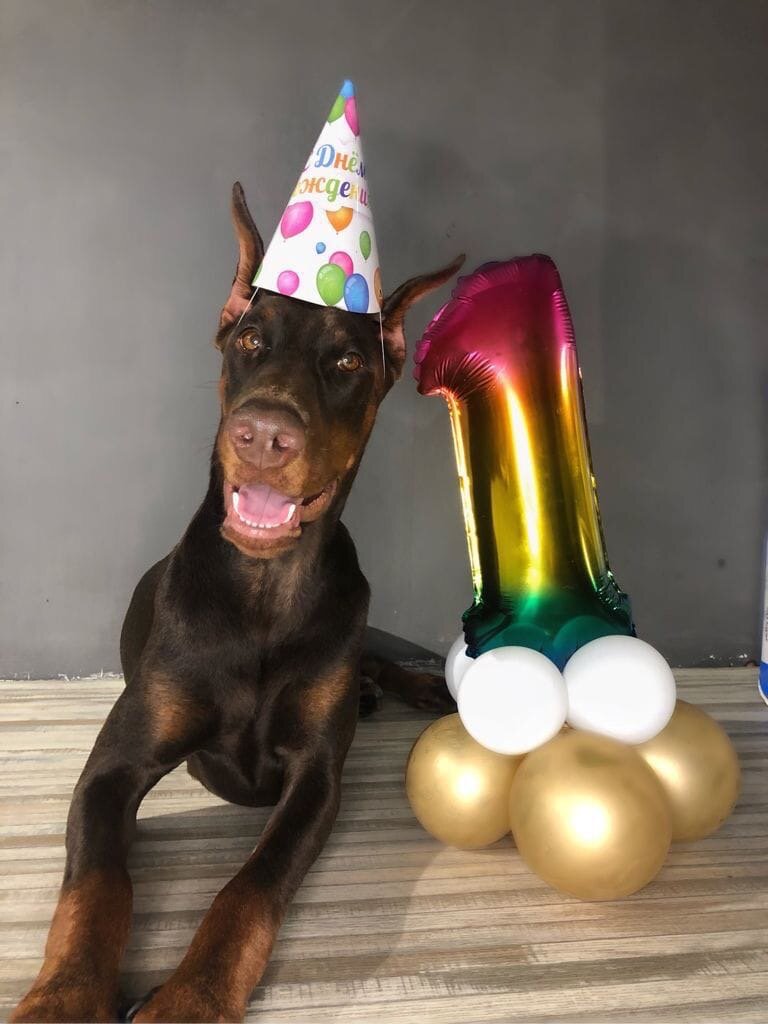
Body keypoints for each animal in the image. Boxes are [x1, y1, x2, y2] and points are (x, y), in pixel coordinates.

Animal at [12, 183, 463, 1023]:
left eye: (347, 361)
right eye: (250, 339)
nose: (263, 436)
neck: (263, 592)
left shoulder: (316, 778)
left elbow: (249, 887)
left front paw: (192, 997)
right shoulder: (112, 770)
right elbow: (97, 886)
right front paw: (64, 997)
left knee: (374, 653)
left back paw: (414, 687)